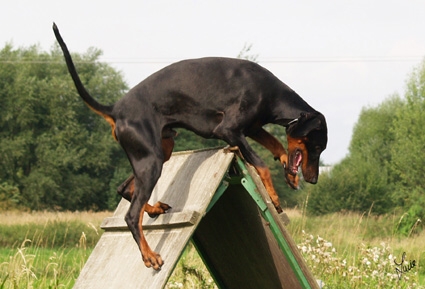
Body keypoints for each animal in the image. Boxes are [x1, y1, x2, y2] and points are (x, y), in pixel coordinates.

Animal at [52, 23, 324, 268]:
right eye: (318, 147)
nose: (313, 180)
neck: (270, 92)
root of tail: (115, 110)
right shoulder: (229, 130)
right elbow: (261, 163)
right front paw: (275, 196)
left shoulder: (252, 128)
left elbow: (277, 144)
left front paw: (289, 172)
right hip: (151, 160)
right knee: (131, 215)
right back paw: (149, 256)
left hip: (159, 151)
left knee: (125, 189)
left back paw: (154, 209)